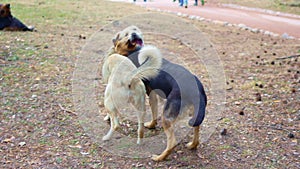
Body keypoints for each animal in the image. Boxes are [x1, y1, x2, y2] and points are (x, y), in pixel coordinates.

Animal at [111, 25, 207, 162]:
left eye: (124, 34)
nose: (134, 34)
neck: (135, 51)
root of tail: (197, 89)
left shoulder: (149, 93)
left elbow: (153, 112)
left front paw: (150, 125)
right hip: (195, 113)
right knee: (197, 128)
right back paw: (192, 145)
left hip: (167, 117)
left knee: (172, 142)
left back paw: (159, 157)